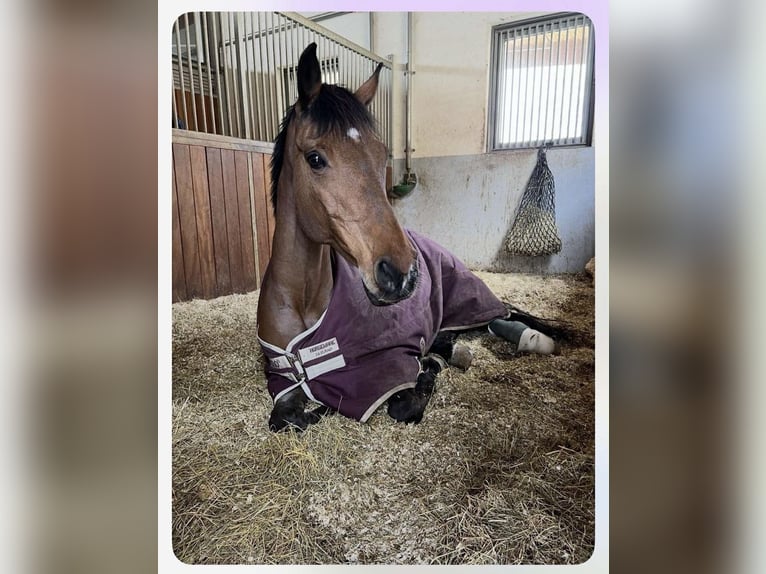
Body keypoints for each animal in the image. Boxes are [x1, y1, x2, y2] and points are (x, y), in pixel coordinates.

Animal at [256, 43, 558, 431]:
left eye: (382, 153)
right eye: (315, 158)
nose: (401, 273)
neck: (303, 299)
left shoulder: (390, 364)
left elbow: (405, 404)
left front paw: (428, 369)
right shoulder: (280, 377)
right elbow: (287, 418)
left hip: (467, 302)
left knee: (494, 318)